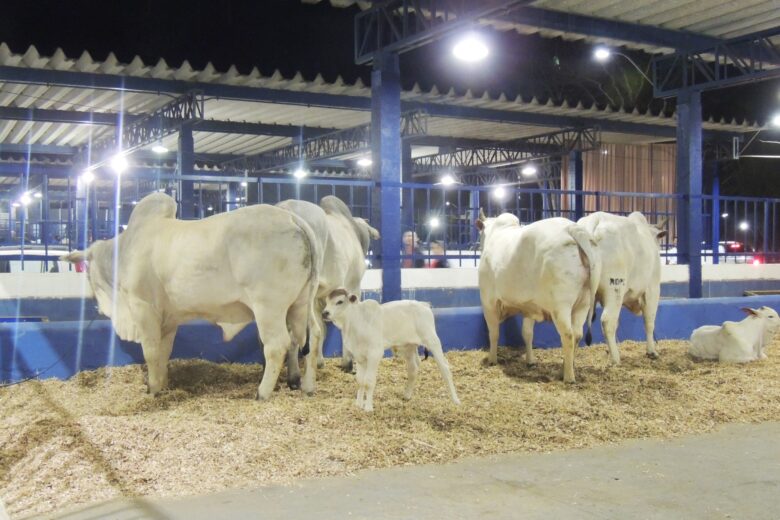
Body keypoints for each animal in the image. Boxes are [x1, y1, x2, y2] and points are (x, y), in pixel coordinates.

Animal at [62, 193, 322, 400]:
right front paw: (163, 384)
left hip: (269, 307)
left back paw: (262, 393)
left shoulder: (143, 307)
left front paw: (152, 389)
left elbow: (151, 351)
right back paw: (307, 386)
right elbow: (164, 352)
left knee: (277, 345)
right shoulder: (168, 318)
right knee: (312, 336)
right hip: (302, 302)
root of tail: (292, 218)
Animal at [322, 288, 460, 410]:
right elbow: (360, 381)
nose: (325, 313)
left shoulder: (375, 353)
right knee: (413, 369)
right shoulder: (359, 356)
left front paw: (368, 407)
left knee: (445, 369)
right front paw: (358, 404)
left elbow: (369, 381)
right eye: (326, 301)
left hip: (432, 340)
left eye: (339, 301)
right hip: (408, 347)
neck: (355, 324)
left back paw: (455, 400)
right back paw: (407, 395)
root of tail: (423, 304)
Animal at [476, 209, 596, 384]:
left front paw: (492, 360)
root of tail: (571, 228)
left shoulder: (488, 301)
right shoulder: (530, 307)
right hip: (583, 304)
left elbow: (494, 333)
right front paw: (530, 361)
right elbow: (527, 333)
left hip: (561, 305)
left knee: (568, 335)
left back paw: (568, 376)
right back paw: (564, 369)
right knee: (578, 335)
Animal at [576, 209, 668, 364]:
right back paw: (616, 358)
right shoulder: (652, 289)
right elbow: (649, 320)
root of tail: (593, 222)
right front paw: (651, 351)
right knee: (607, 321)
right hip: (615, 289)